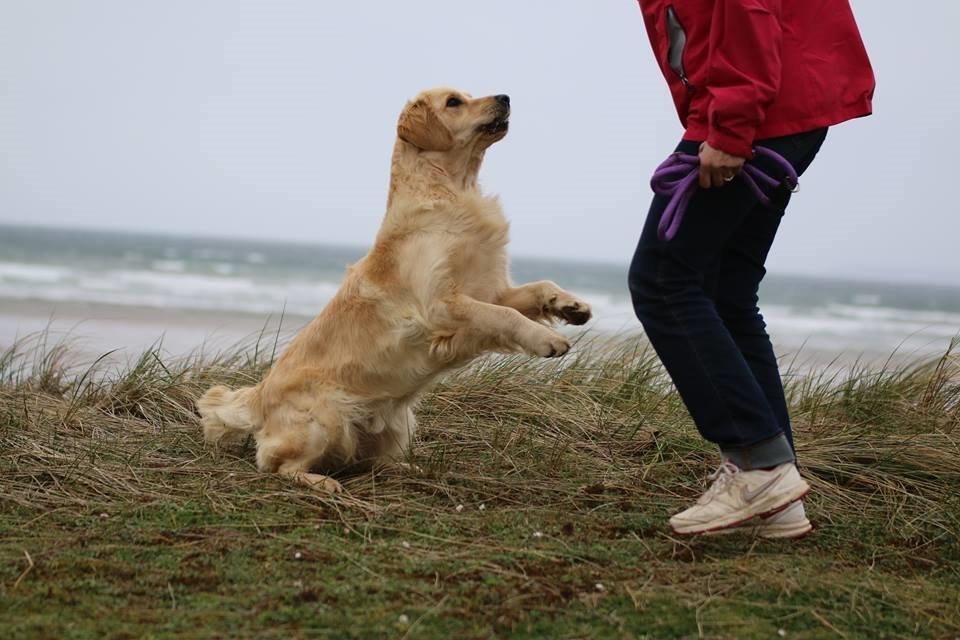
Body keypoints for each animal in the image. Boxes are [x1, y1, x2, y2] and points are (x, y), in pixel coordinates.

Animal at [197, 87, 592, 492]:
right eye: (454, 102)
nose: (505, 96)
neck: (451, 190)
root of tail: (256, 399)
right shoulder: (441, 304)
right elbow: (505, 315)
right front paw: (547, 340)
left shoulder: (488, 289)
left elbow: (533, 291)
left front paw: (570, 305)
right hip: (325, 420)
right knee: (278, 465)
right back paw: (321, 483)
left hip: (398, 423)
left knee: (370, 463)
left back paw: (409, 470)